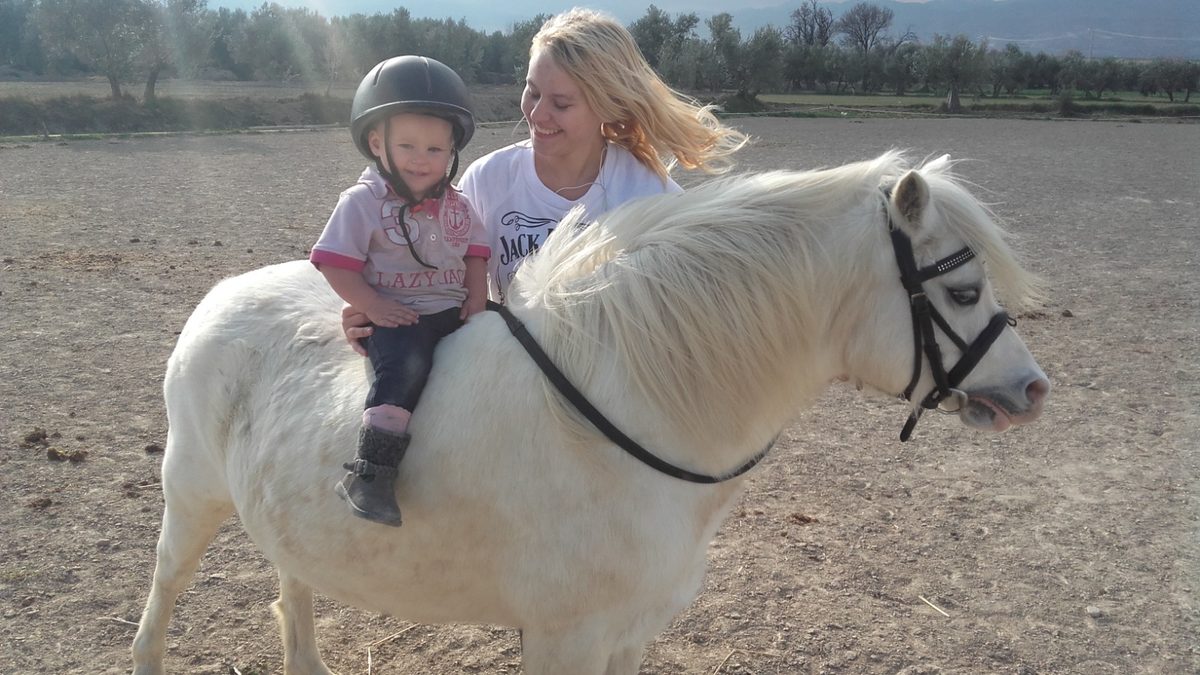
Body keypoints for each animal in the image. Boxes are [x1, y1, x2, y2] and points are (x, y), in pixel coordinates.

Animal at [132, 151, 1049, 674]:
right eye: (963, 292)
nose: (1034, 390)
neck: (623, 413)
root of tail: (225, 293)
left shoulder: (629, 629)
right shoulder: (562, 637)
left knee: (295, 580)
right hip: (192, 497)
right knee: (164, 592)